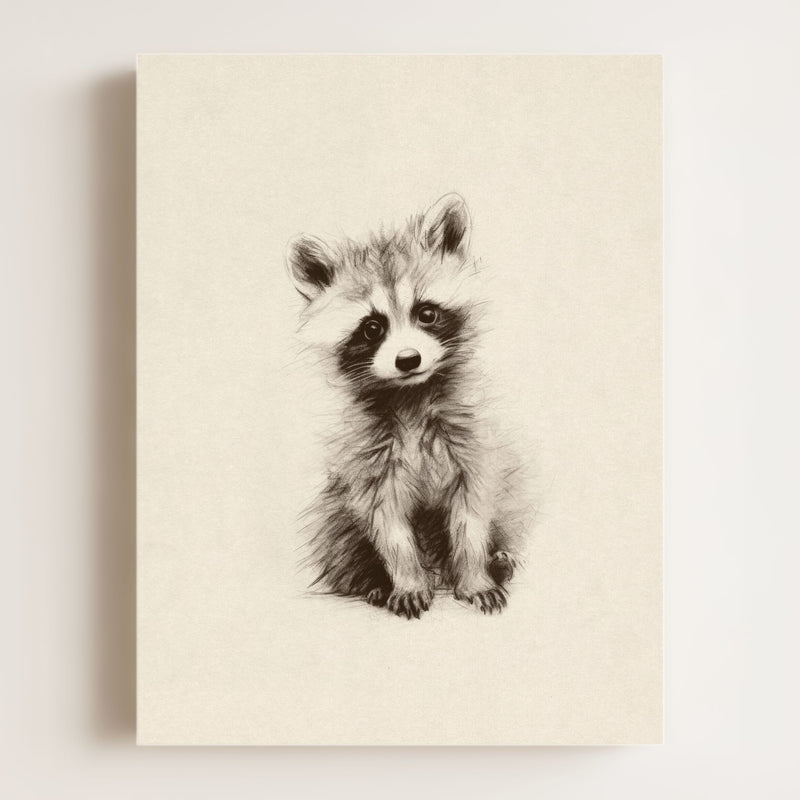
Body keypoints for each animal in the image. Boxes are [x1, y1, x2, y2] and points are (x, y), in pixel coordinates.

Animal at [287, 193, 527, 618]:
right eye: (372, 328)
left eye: (427, 313)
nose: (408, 359)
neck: (411, 394)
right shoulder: (368, 454)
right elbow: (387, 521)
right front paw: (407, 580)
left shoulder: (469, 441)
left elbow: (471, 512)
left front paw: (474, 576)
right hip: (332, 513)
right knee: (339, 534)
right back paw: (372, 580)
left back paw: (495, 563)